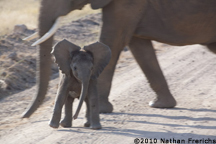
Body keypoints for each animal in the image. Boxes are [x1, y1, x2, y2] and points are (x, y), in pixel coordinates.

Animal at [22, 0, 216, 118]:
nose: (24, 115)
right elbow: (139, 47)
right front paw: (160, 105)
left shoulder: (127, 4)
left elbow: (112, 41)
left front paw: (99, 109)